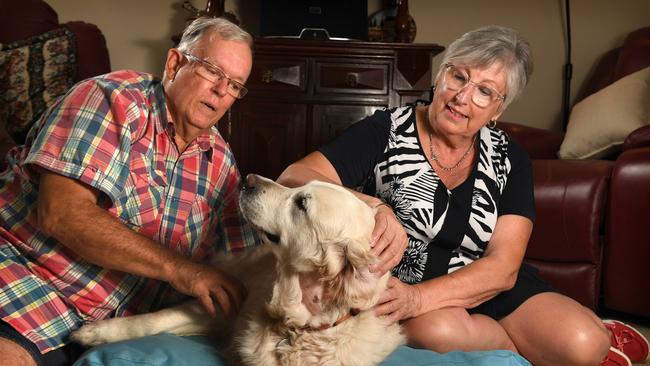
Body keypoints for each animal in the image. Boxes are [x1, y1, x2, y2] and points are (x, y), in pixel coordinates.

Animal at [72, 175, 404, 366]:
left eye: (301, 203)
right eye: (300, 187)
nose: (249, 179)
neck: (294, 327)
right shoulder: (220, 304)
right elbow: (151, 321)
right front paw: (94, 333)